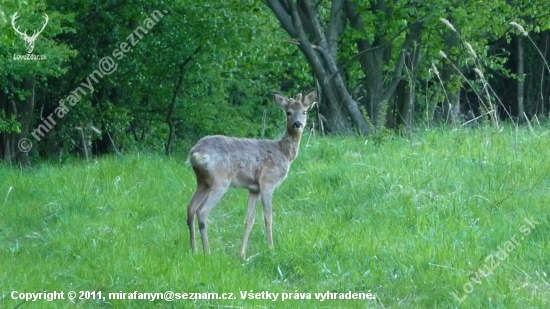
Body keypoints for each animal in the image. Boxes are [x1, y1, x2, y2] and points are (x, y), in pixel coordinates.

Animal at [189, 89, 316, 258]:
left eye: (304, 111)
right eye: (288, 112)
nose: (297, 124)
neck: (284, 153)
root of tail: (195, 153)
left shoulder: (253, 189)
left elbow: (249, 220)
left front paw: (241, 254)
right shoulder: (267, 182)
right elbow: (268, 217)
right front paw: (271, 248)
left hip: (202, 182)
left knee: (190, 208)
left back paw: (194, 250)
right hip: (220, 181)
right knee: (202, 211)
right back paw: (207, 252)